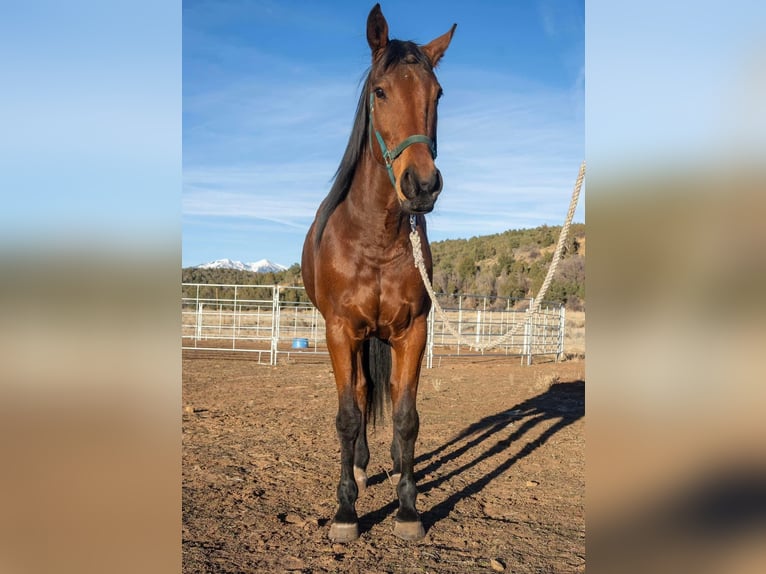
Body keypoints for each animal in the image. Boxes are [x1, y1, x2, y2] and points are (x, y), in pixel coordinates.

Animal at [300, 4, 456, 544]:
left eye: (437, 93)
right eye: (380, 91)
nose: (422, 185)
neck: (377, 237)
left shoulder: (412, 332)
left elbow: (407, 418)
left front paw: (408, 509)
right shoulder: (340, 331)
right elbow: (348, 417)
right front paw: (346, 512)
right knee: (363, 393)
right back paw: (362, 469)